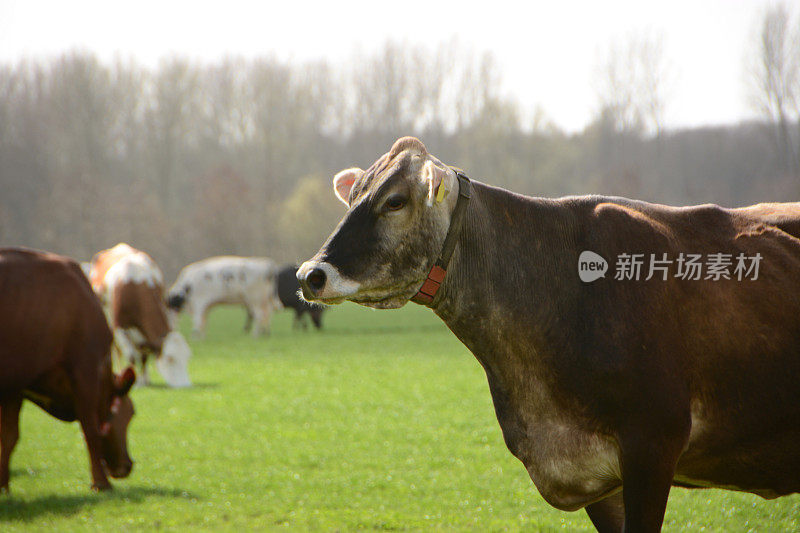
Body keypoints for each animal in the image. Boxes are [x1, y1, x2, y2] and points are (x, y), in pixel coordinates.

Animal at [0, 248, 136, 490]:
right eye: (129, 414)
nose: (127, 465)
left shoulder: (15, 387)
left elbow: (8, 438)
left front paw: (4, 486)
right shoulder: (84, 371)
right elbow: (91, 429)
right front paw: (101, 483)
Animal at [90, 242, 192, 386]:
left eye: (187, 357)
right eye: (170, 358)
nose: (185, 385)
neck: (136, 284)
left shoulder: (143, 331)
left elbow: (144, 355)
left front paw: (143, 380)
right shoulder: (119, 327)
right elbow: (131, 355)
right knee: (117, 350)